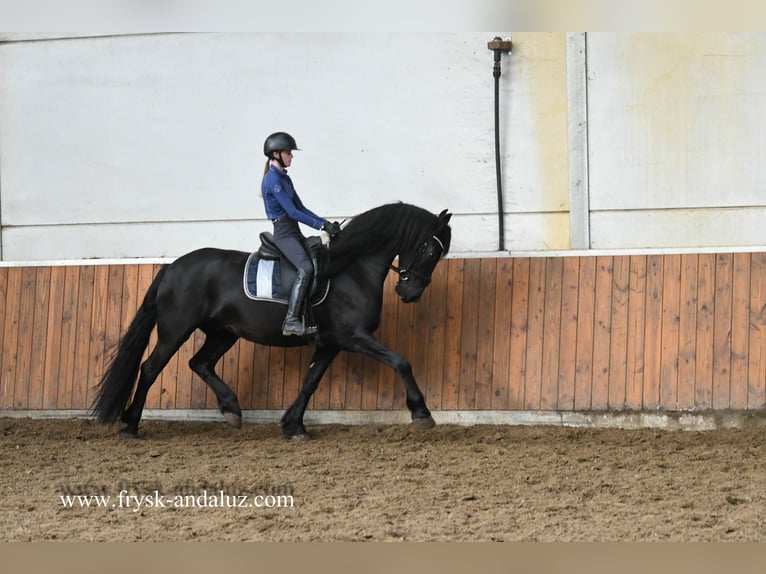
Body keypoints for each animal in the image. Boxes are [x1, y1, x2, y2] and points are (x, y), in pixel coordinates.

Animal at [91, 204, 450, 440]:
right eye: (433, 251)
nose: (409, 293)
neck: (352, 268)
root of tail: (172, 267)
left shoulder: (332, 343)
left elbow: (310, 381)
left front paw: (293, 425)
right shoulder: (354, 337)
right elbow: (401, 362)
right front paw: (421, 413)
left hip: (223, 333)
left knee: (200, 363)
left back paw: (231, 409)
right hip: (176, 330)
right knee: (151, 368)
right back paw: (131, 426)